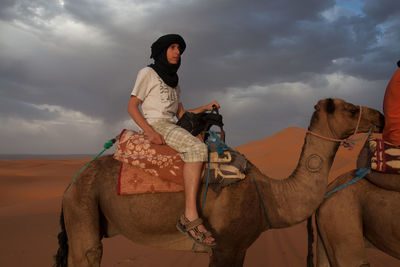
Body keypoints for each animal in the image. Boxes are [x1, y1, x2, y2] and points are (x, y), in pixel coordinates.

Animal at [54, 99, 384, 267]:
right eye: (351, 109)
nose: (380, 116)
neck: (270, 196)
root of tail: (71, 183)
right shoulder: (227, 245)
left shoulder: (239, 248)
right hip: (82, 206)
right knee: (88, 253)